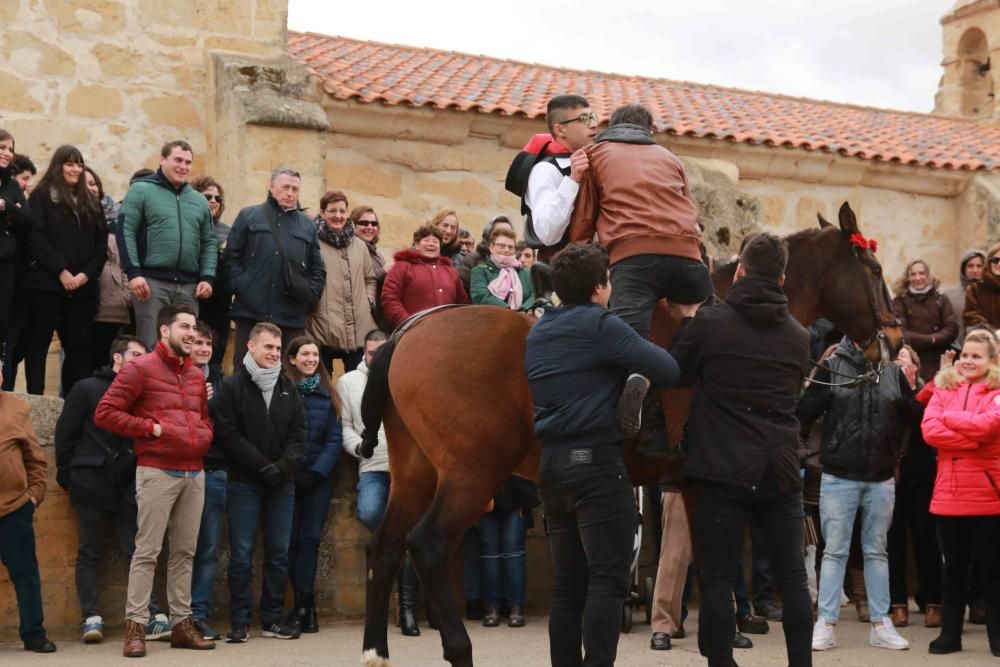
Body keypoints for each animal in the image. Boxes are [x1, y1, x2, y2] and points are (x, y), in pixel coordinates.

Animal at [358, 204, 900, 667]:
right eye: (874, 271)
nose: (894, 340)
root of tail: (408, 333)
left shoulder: (693, 485)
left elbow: (711, 572)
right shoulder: (708, 487)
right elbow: (716, 573)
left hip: (416, 473)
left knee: (384, 549)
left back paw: (374, 651)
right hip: (471, 474)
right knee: (426, 545)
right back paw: (458, 648)